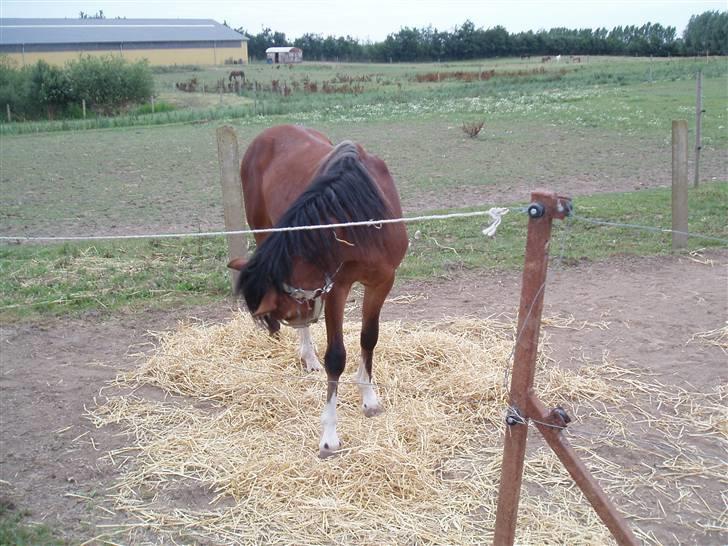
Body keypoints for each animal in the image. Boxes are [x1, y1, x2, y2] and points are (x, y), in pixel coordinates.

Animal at [229, 123, 410, 454]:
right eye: (286, 315)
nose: (292, 321)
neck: (356, 220)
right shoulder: (335, 288)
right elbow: (335, 357)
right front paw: (329, 434)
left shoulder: (381, 282)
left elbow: (369, 338)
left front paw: (369, 399)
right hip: (261, 227)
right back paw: (310, 358)